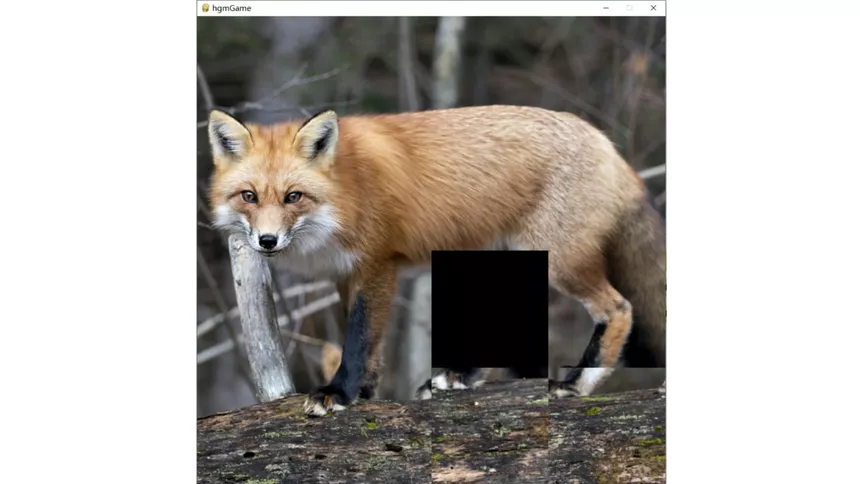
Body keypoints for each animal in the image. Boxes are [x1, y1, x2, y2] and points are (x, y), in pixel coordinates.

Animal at [206, 104, 666, 417]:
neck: (346, 193)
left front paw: (338, 392)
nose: (266, 241)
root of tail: (604, 140)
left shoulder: (377, 263)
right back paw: (464, 376)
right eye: (249, 196)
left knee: (619, 308)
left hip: (559, 262)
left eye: (293, 197)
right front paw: (365, 392)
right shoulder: (345, 273)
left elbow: (358, 337)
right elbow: (372, 345)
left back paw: (573, 385)